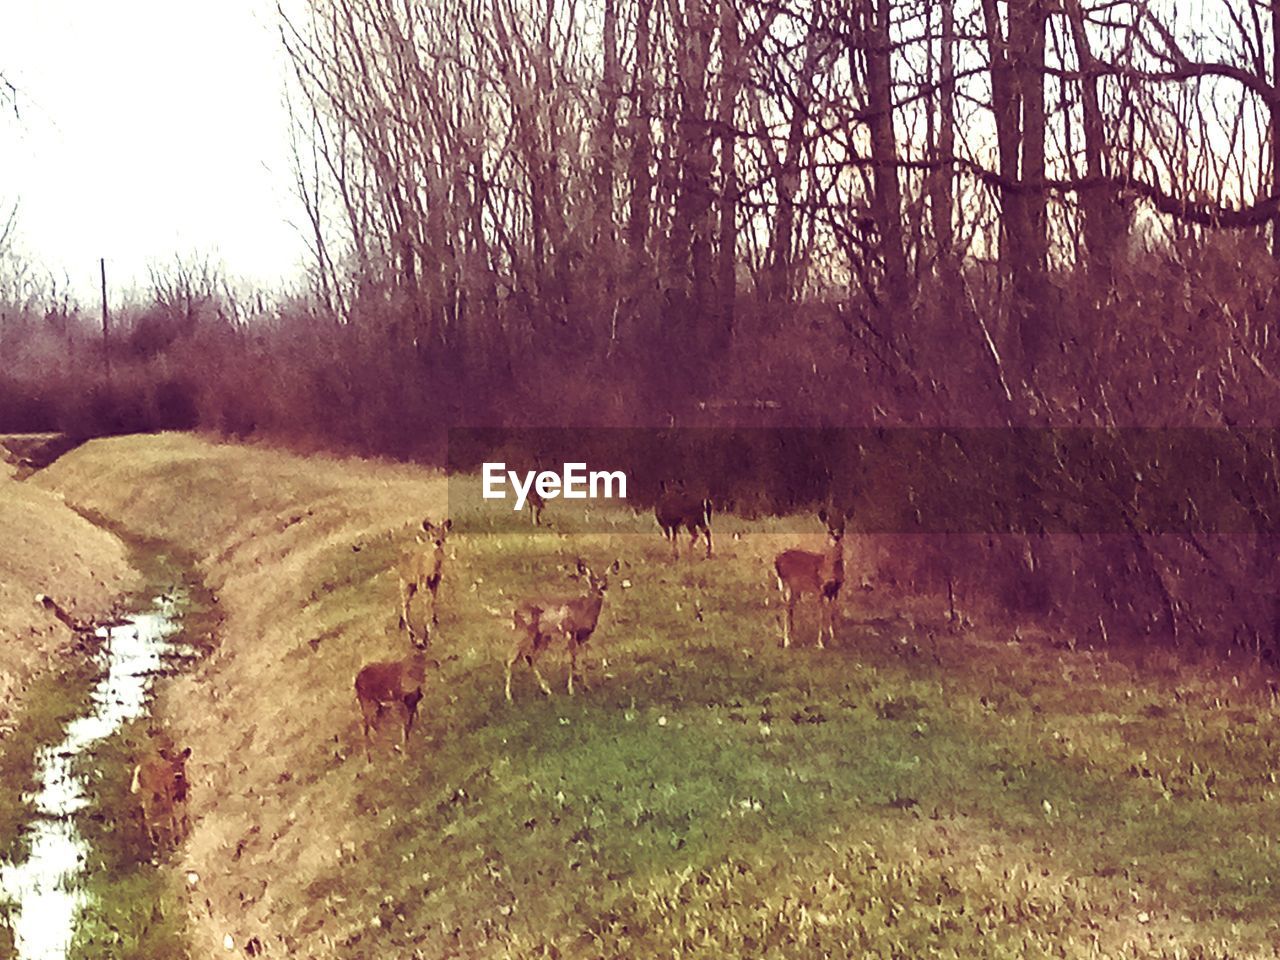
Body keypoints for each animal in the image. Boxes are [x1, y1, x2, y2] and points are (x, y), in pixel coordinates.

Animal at [350, 634, 435, 762]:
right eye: (412, 635)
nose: (421, 645)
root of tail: (356, 681)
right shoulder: (400, 702)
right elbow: (406, 725)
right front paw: (405, 753)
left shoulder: (412, 701)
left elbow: (413, 719)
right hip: (369, 702)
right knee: (367, 725)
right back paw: (374, 756)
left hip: (377, 706)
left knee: (373, 724)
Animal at [396, 514, 453, 642]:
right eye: (432, 534)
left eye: (443, 533)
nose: (437, 542)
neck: (430, 568)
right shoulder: (422, 581)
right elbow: (427, 602)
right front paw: (428, 627)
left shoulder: (435, 581)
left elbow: (433, 600)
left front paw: (434, 621)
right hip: (405, 582)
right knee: (405, 604)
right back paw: (410, 631)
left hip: (411, 585)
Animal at [504, 560, 619, 701]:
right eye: (594, 580)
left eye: (606, 578)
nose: (603, 587)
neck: (584, 610)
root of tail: (514, 610)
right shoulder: (570, 631)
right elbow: (571, 661)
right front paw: (571, 690)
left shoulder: (584, 636)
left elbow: (583, 660)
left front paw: (587, 687)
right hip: (524, 632)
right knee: (510, 659)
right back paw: (509, 697)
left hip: (542, 636)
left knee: (530, 657)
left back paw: (547, 690)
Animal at [773, 512, 844, 647]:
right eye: (829, 530)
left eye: (843, 528)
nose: (837, 536)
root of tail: (776, 560)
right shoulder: (819, 589)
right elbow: (821, 615)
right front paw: (820, 643)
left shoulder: (836, 590)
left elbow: (832, 613)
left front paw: (834, 639)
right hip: (788, 583)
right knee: (786, 607)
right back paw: (787, 641)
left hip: (793, 587)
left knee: (790, 607)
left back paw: (791, 638)